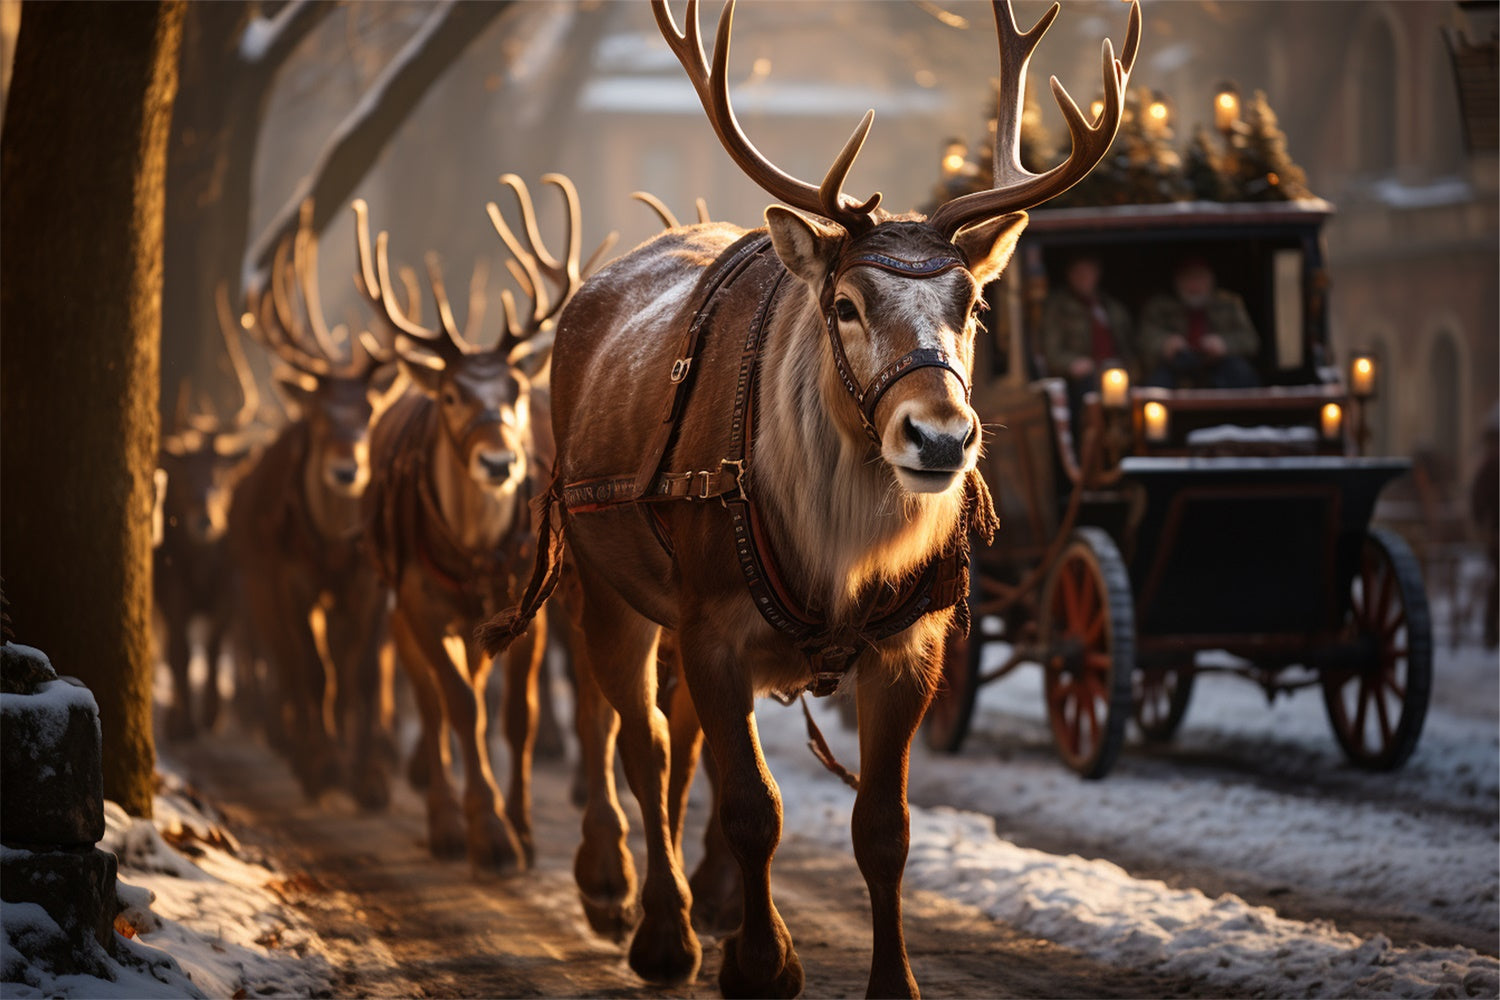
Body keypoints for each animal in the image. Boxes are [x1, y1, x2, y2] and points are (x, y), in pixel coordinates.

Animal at [226, 201, 403, 812]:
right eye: (319, 416)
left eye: (371, 409)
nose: (347, 470)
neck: (330, 548)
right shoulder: (289, 577)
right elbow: (312, 668)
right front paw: (324, 770)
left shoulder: (370, 581)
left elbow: (362, 674)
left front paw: (370, 778)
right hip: (257, 580)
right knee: (290, 664)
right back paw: (304, 755)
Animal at [352, 174, 614, 870]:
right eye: (451, 396)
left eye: (515, 393)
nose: (500, 461)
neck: (474, 553)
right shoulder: (418, 602)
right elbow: (459, 707)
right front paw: (485, 832)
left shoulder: (532, 607)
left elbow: (518, 715)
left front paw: (518, 828)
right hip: (397, 599)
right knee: (429, 701)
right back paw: (444, 819)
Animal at [479, 0, 1139, 994]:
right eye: (846, 304)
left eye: (974, 305)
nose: (940, 437)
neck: (836, 560)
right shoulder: (710, 620)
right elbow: (754, 803)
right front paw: (759, 964)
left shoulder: (913, 641)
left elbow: (883, 828)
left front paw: (886, 978)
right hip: (605, 585)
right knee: (641, 741)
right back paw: (648, 918)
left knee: (682, 746)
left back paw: (705, 902)